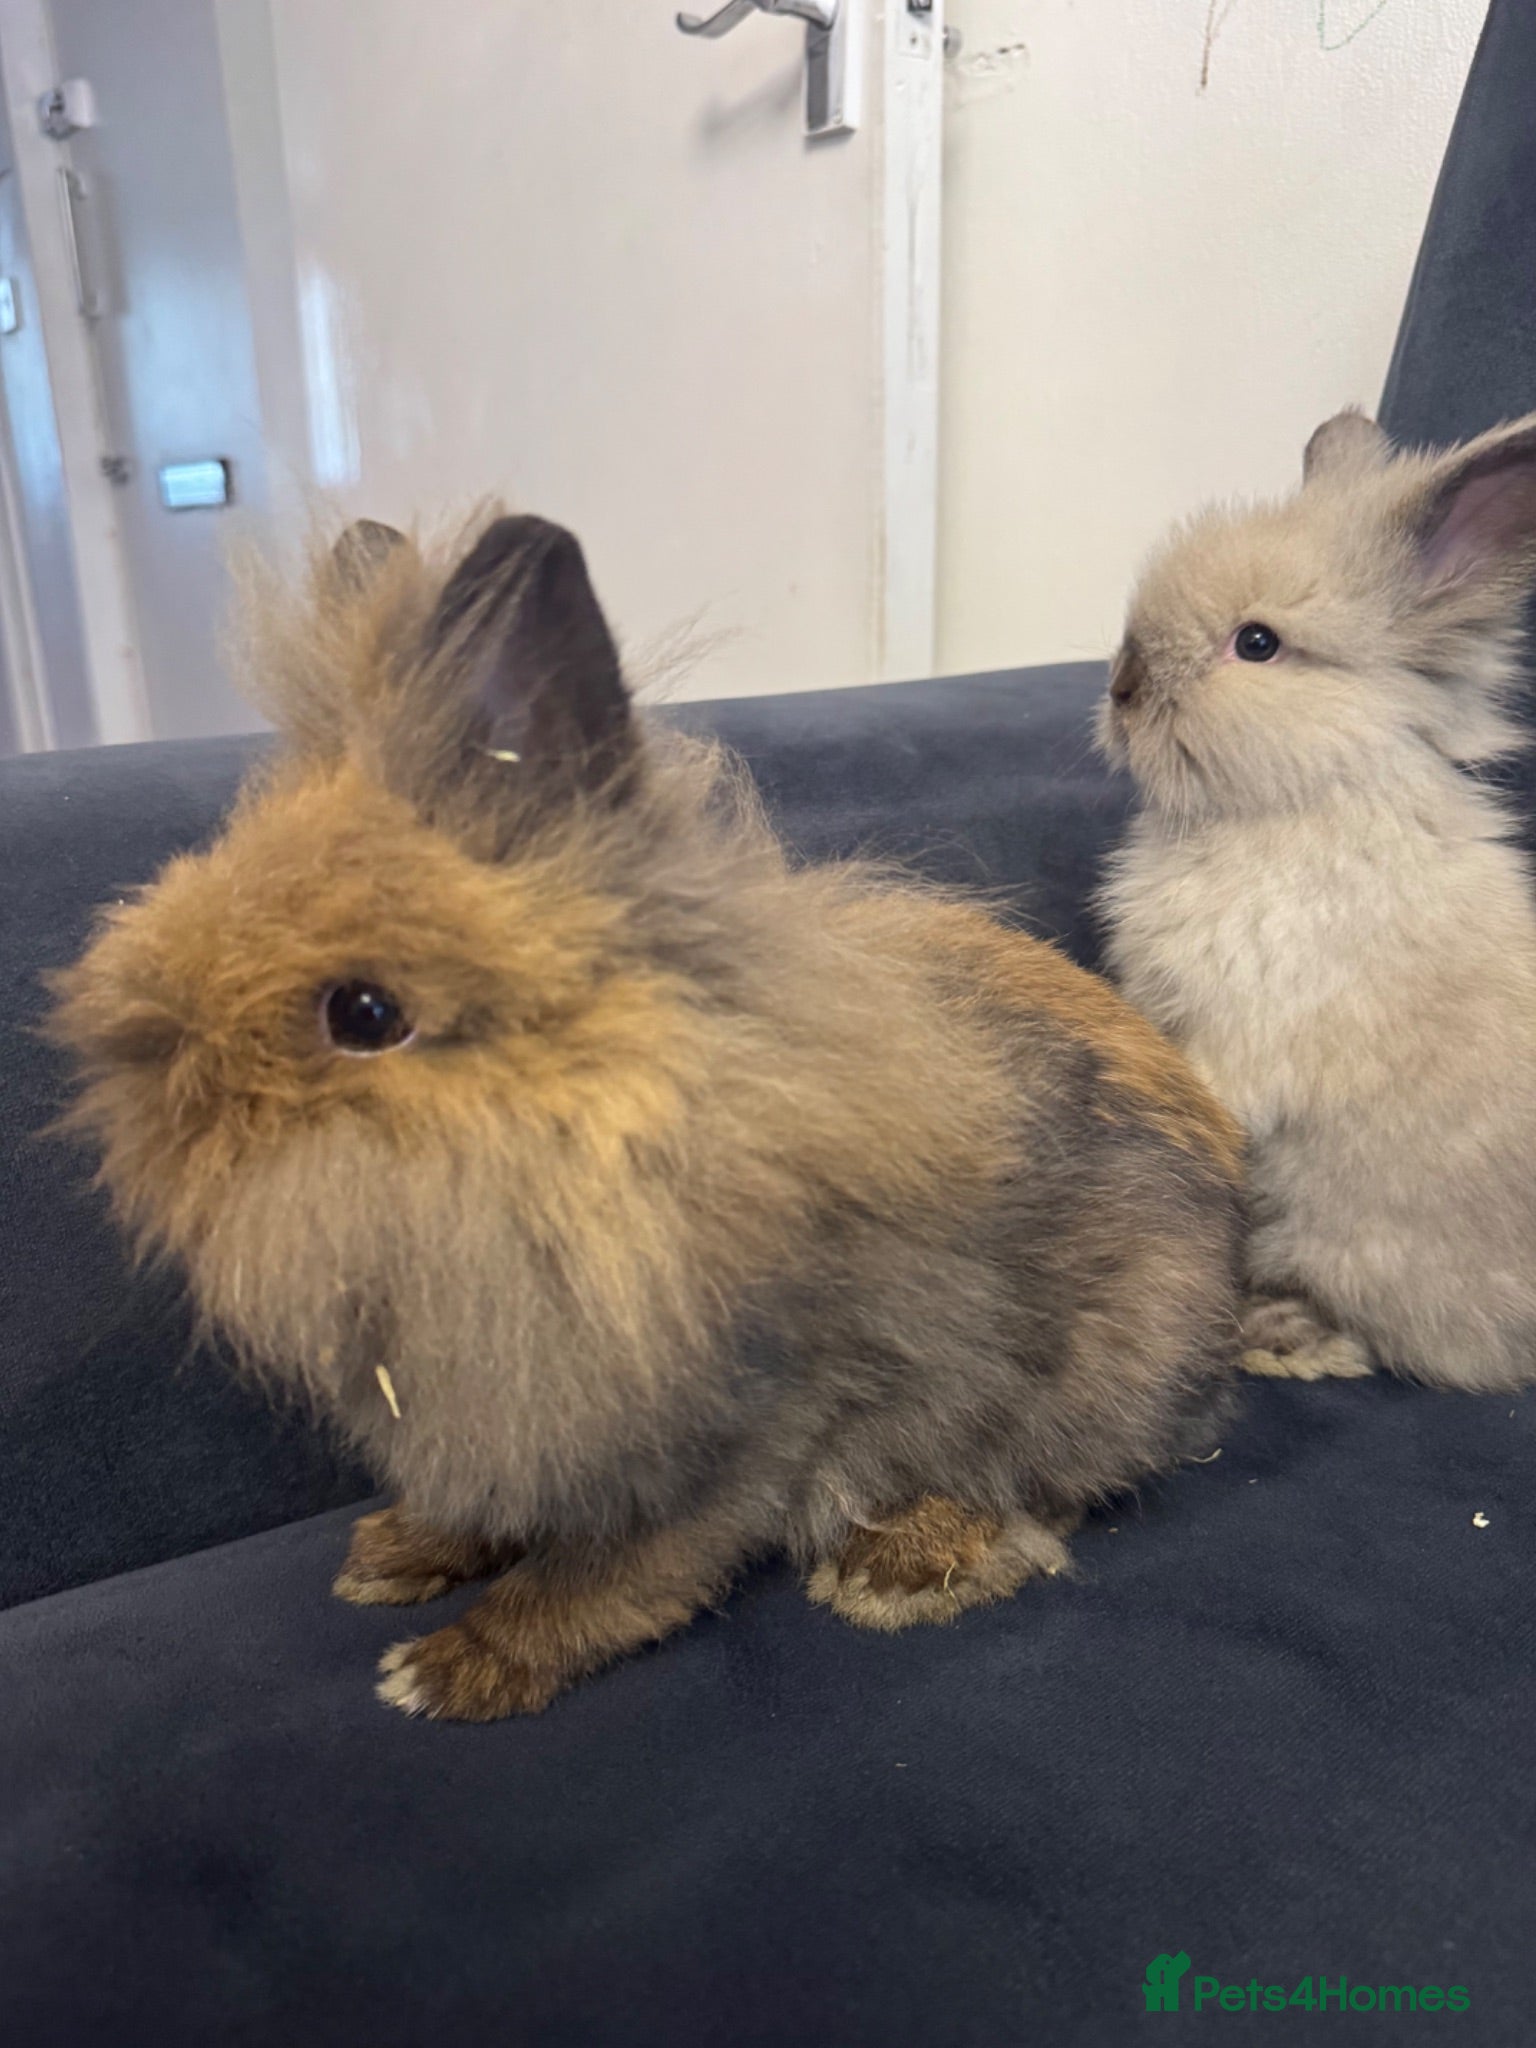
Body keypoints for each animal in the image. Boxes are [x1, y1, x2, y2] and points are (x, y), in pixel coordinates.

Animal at [52, 510, 1244, 1721]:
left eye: (365, 1011)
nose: (147, 1078)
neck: (569, 1141)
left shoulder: (728, 1432)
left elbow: (605, 1577)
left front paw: (451, 1671)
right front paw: (396, 1555)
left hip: (1094, 1360)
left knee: (1049, 1486)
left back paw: (895, 1566)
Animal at [1098, 406, 1536, 1393]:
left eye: (1256, 643)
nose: (1124, 688)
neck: (1305, 797)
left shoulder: (1238, 1034)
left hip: (1347, 1246)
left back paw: (1281, 1339)